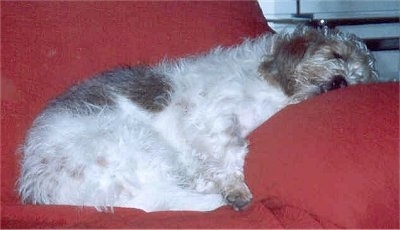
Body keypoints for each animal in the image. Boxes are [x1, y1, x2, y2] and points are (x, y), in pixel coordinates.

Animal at [18, 26, 378, 211]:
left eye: (359, 78)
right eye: (335, 55)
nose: (341, 82)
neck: (273, 90)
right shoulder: (212, 120)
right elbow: (230, 150)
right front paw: (236, 190)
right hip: (139, 142)